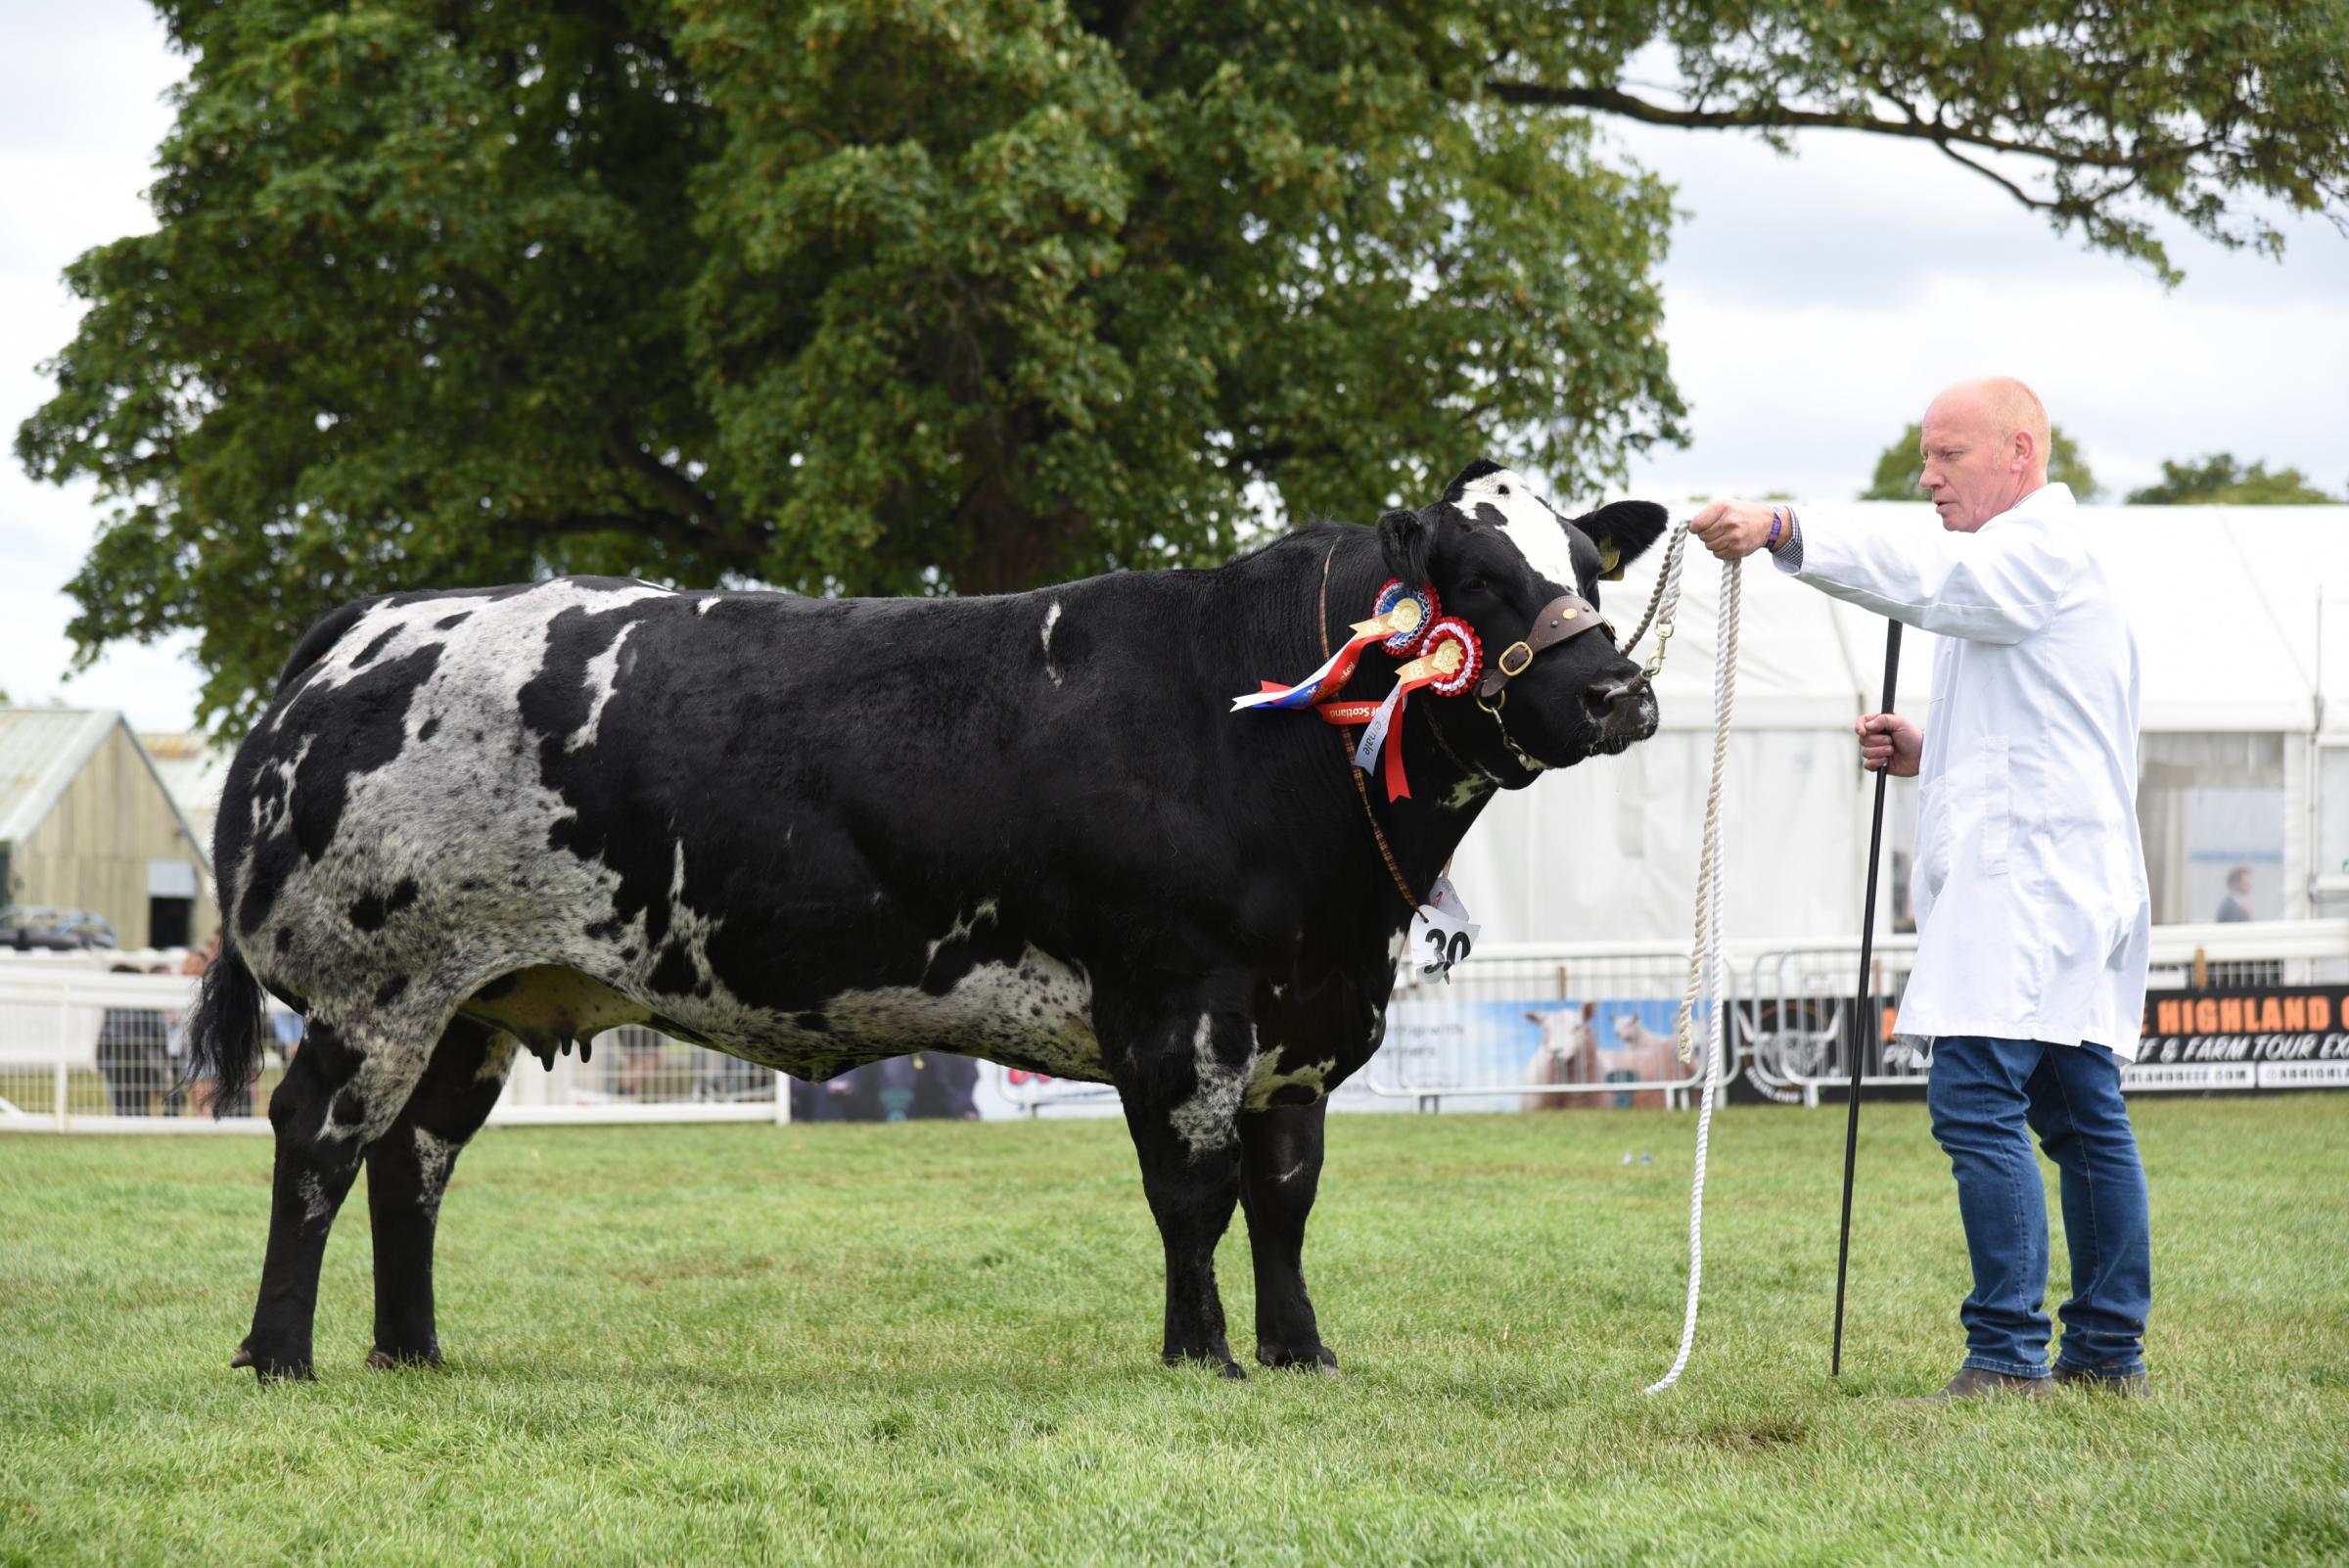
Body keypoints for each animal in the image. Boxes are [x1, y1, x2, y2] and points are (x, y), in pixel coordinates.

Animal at [197, 460, 1672, 1380]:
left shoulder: (1302, 1023)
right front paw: (1204, 1356)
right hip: (372, 989)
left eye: (1589, 569)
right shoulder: (1179, 1003)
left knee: (414, 1161)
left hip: (475, 1001)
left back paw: (413, 1351)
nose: (1619, 691)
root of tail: (376, 617)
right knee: (317, 1141)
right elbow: (1193, 1193)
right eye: (1475, 576)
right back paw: (281, 1356)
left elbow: (1286, 1197)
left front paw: (1303, 1351)